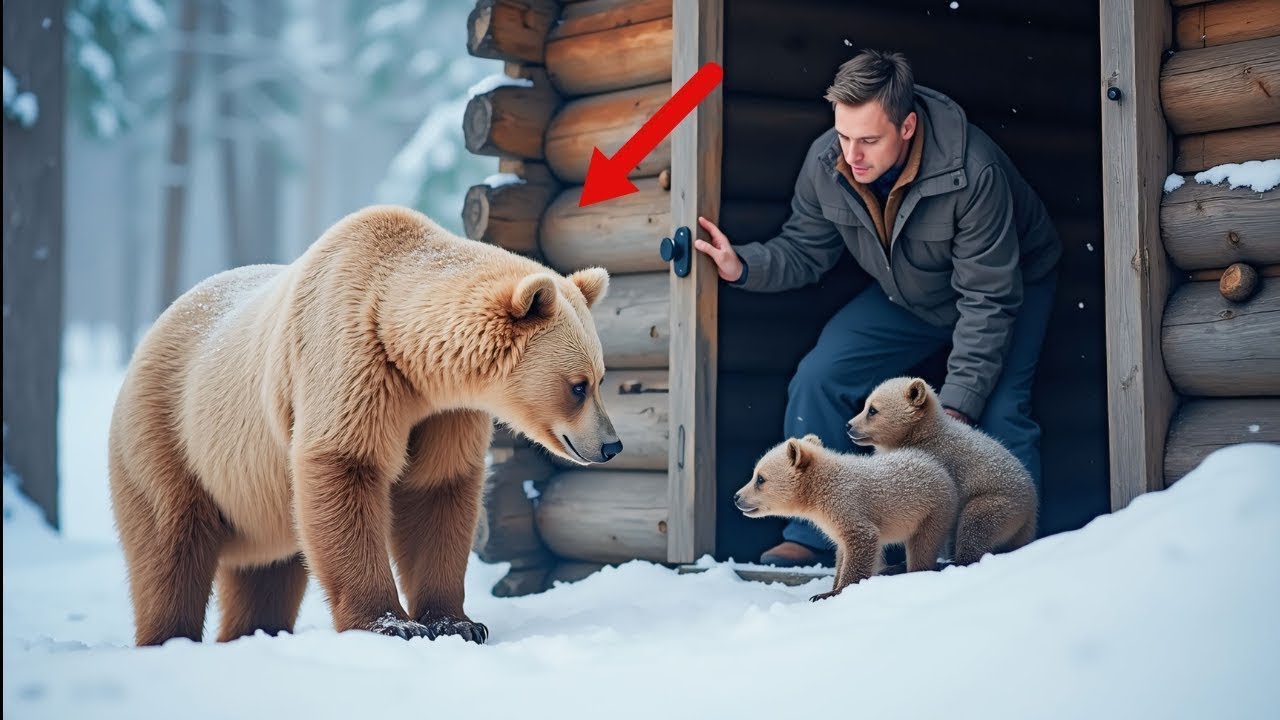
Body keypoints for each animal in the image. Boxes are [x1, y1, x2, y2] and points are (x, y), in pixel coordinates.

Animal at [108, 204, 622, 647]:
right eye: (578, 386)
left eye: (600, 377)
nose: (611, 445)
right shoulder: (350, 362)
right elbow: (345, 471)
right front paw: (391, 624)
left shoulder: (442, 413)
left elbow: (437, 490)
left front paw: (458, 623)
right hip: (170, 439)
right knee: (170, 552)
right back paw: (169, 637)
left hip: (258, 502)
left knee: (266, 574)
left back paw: (254, 631)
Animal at [732, 434, 957, 601]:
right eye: (756, 474)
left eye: (760, 478)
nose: (737, 497)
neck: (822, 486)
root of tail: (939, 468)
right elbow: (842, 550)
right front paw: (832, 586)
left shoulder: (846, 503)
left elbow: (862, 539)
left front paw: (831, 593)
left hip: (932, 510)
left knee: (922, 545)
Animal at [846, 376, 1038, 566]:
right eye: (866, 405)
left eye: (872, 410)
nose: (849, 426)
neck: (924, 435)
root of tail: (1032, 502)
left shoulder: (934, 459)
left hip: (1001, 503)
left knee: (974, 524)